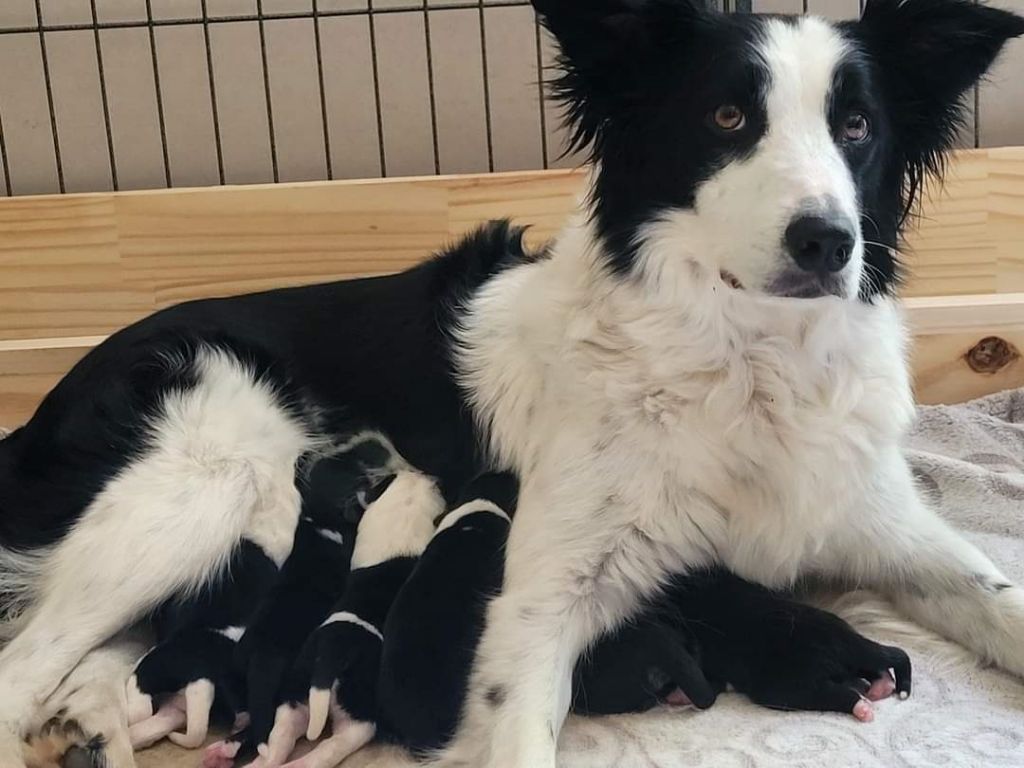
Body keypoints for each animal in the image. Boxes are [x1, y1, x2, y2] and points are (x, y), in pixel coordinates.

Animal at [247, 468, 444, 768]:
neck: (407, 504)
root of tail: (329, 660)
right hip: (358, 719)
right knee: (329, 749)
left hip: (294, 695)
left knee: (281, 738)